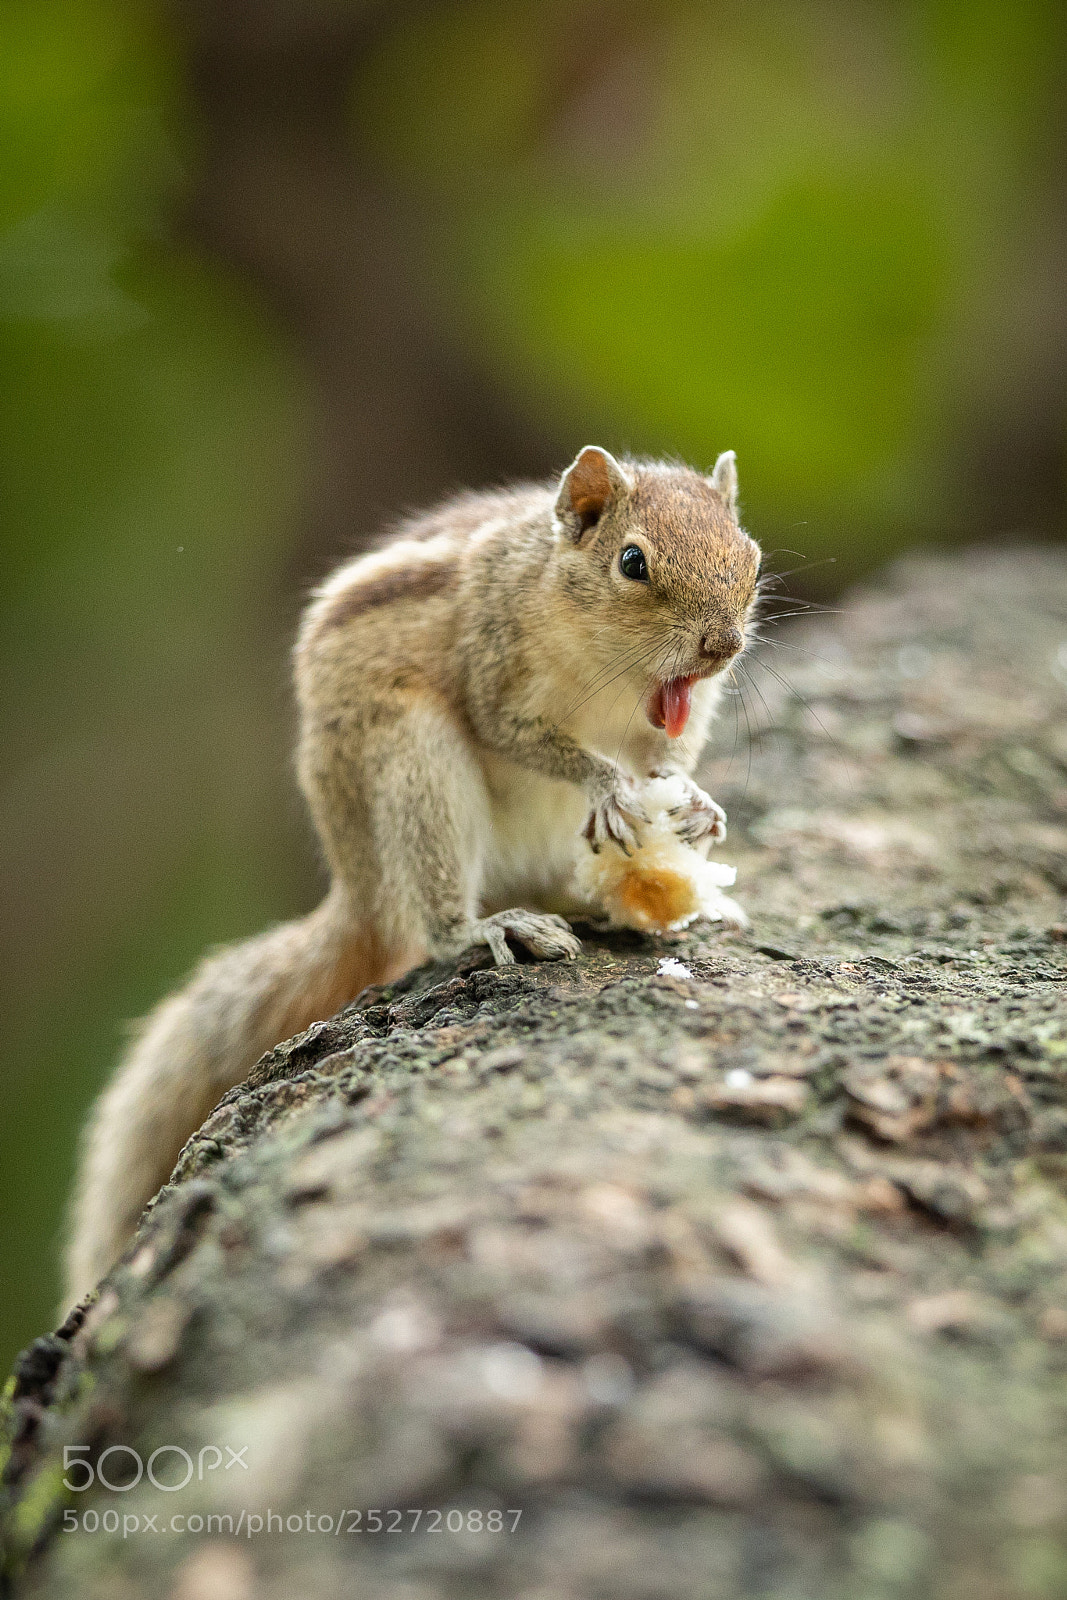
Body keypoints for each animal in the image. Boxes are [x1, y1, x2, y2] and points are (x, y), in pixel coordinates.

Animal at [64, 446, 761, 1306]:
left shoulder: (677, 717)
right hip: (412, 756)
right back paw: (491, 926)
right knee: (434, 920)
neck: (610, 669)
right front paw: (603, 785)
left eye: (748, 556)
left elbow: (670, 759)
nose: (720, 646)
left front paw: (695, 804)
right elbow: (523, 734)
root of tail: (358, 892)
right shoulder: (493, 663)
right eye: (632, 563)